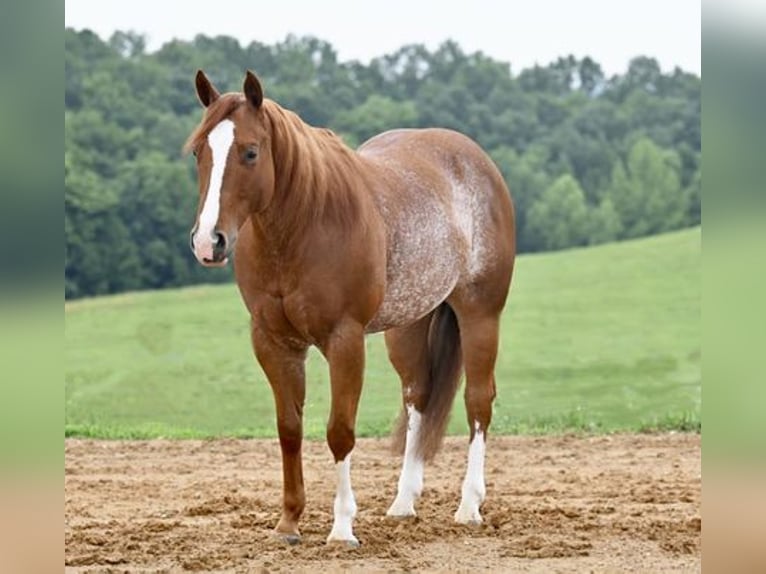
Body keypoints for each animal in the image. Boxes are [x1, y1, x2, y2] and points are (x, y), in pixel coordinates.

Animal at [184, 70, 516, 548]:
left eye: (250, 152)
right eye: (199, 152)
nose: (208, 241)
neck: (306, 224)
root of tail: (476, 161)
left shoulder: (345, 339)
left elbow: (339, 431)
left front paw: (342, 527)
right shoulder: (273, 341)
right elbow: (289, 428)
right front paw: (288, 523)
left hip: (480, 313)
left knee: (477, 401)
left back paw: (469, 506)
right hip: (408, 325)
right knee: (418, 397)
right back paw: (403, 503)